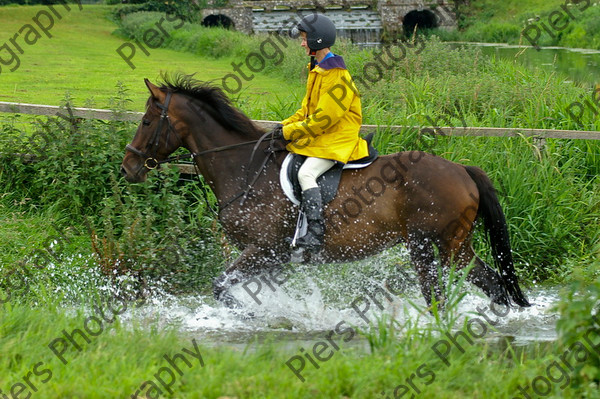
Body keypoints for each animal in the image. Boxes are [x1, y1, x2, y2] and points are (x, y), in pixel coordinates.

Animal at [120, 76, 528, 312]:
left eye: (146, 122)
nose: (128, 167)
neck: (243, 168)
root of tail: (462, 170)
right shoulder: (271, 259)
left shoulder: (264, 251)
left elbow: (220, 287)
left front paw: (250, 315)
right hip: (456, 248)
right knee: (494, 285)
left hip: (429, 247)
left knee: (439, 298)